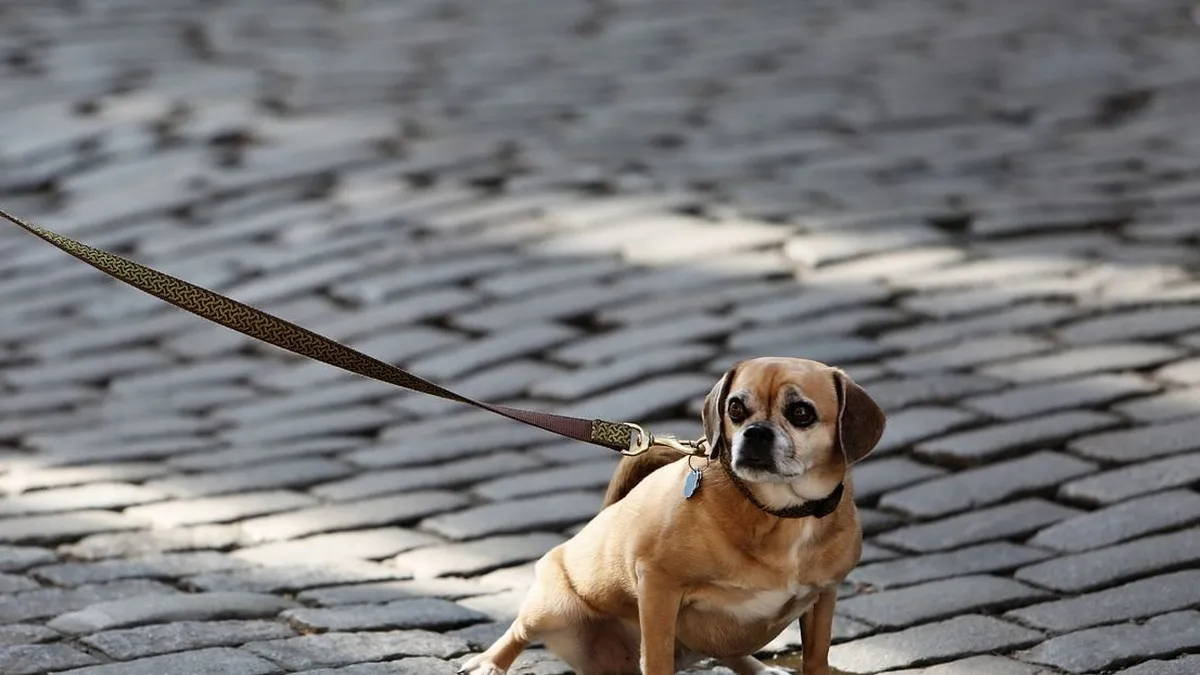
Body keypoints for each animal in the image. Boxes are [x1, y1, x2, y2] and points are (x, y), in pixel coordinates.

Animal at [463, 357, 888, 672]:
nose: (755, 432)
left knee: (730, 652)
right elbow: (657, 658)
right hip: (553, 608)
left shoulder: (824, 597)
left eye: (801, 412)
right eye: (736, 408)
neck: (780, 513)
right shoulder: (658, 586)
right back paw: (488, 663)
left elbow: (816, 658)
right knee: (518, 631)